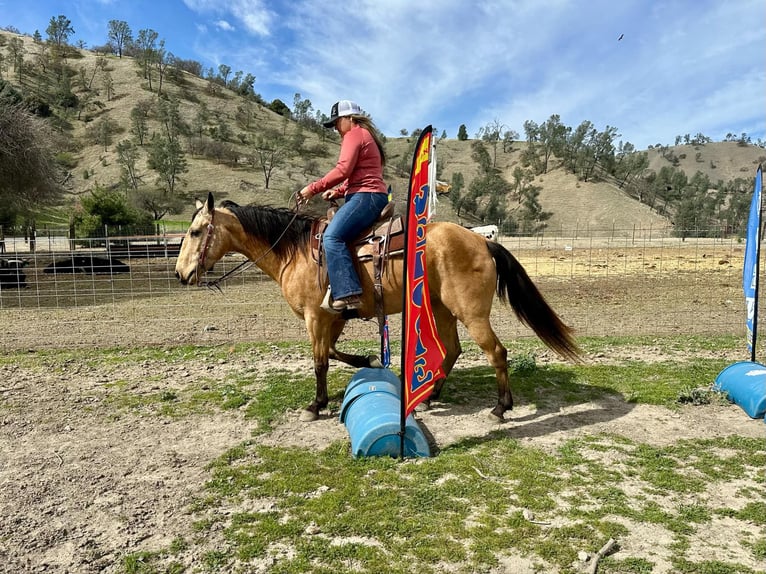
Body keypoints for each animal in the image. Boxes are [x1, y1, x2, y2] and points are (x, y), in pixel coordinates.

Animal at [174, 194, 584, 424]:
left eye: (195, 232)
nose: (180, 274)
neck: (295, 251)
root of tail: (482, 241)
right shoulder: (334, 317)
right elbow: (333, 352)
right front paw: (368, 360)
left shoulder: (316, 317)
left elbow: (320, 361)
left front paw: (316, 404)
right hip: (442, 310)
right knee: (452, 351)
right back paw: (429, 397)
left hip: (470, 313)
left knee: (496, 352)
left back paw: (501, 408)